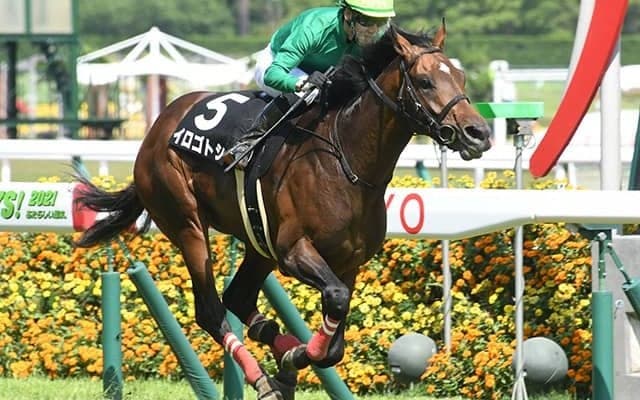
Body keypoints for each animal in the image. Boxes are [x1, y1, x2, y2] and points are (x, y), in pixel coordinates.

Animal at [74, 23, 491, 399]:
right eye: (424, 81)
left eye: (460, 76)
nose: (479, 133)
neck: (347, 163)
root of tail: (159, 126)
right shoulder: (294, 250)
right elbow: (335, 300)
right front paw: (292, 359)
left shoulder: (349, 263)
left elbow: (335, 346)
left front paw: (291, 360)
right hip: (187, 222)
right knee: (210, 309)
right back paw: (262, 381)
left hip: (260, 244)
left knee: (238, 297)